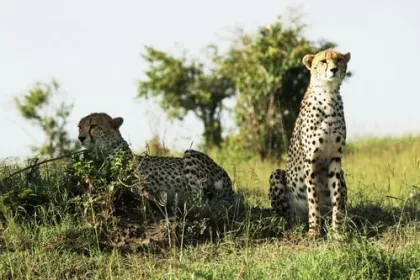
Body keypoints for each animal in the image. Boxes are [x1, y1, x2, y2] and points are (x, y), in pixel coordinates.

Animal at [77, 112, 235, 207]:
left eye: (93, 126)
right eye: (79, 127)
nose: (81, 138)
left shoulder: (136, 182)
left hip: (191, 154)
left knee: (199, 201)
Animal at [270, 49, 352, 237]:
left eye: (339, 60)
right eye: (323, 61)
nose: (334, 70)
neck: (328, 95)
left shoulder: (335, 159)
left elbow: (336, 197)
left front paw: (337, 232)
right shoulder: (311, 160)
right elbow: (313, 198)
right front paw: (314, 231)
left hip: (342, 173)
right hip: (277, 175)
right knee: (288, 217)